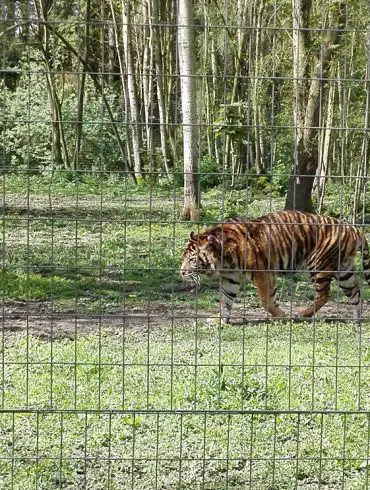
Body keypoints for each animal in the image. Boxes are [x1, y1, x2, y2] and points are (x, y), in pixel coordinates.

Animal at [180, 210, 370, 322]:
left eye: (191, 259)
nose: (181, 272)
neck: (223, 261)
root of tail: (354, 228)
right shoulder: (230, 279)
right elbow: (225, 300)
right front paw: (220, 319)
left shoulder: (262, 273)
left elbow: (266, 301)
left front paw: (281, 316)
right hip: (344, 270)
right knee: (356, 293)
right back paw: (357, 320)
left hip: (319, 265)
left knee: (324, 295)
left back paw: (302, 314)